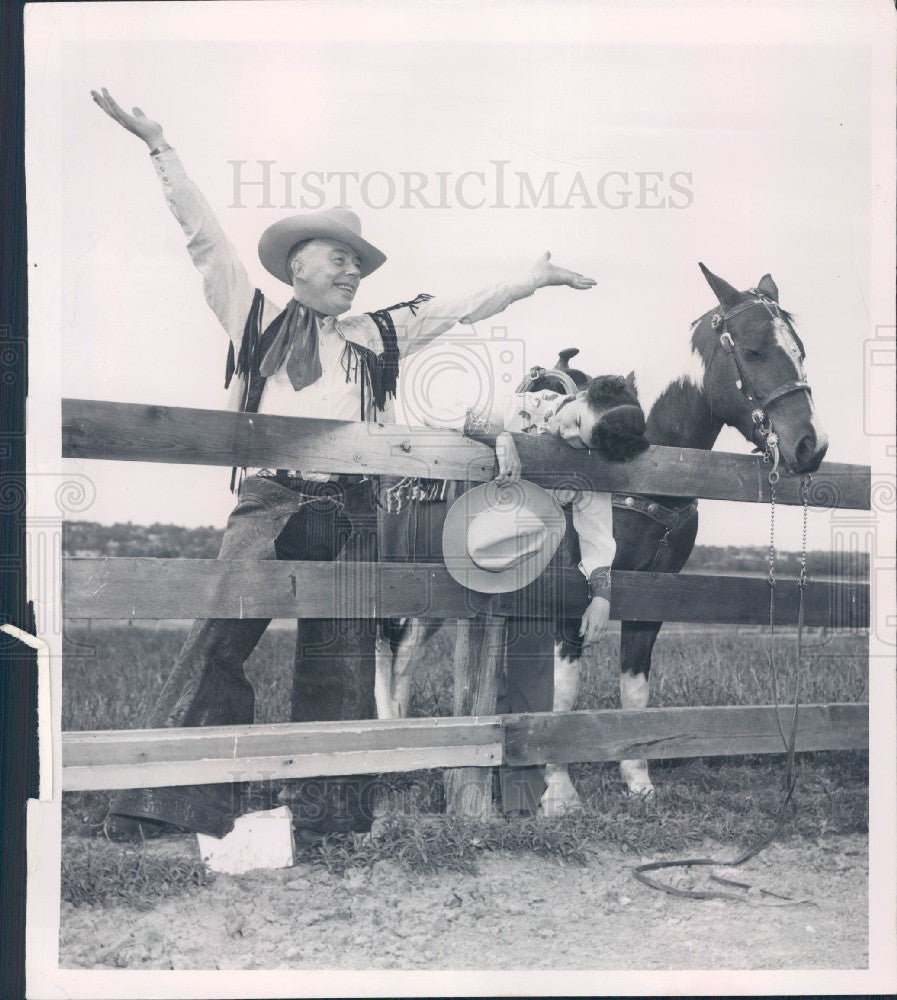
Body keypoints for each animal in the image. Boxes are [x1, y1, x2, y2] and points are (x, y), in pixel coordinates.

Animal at [372, 264, 824, 812]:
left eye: (801, 350)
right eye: (755, 350)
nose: (811, 445)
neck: (650, 475)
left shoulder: (652, 597)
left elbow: (634, 688)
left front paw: (638, 779)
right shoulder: (569, 599)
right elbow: (563, 695)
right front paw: (559, 791)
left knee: (406, 659)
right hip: (403, 584)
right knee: (392, 657)